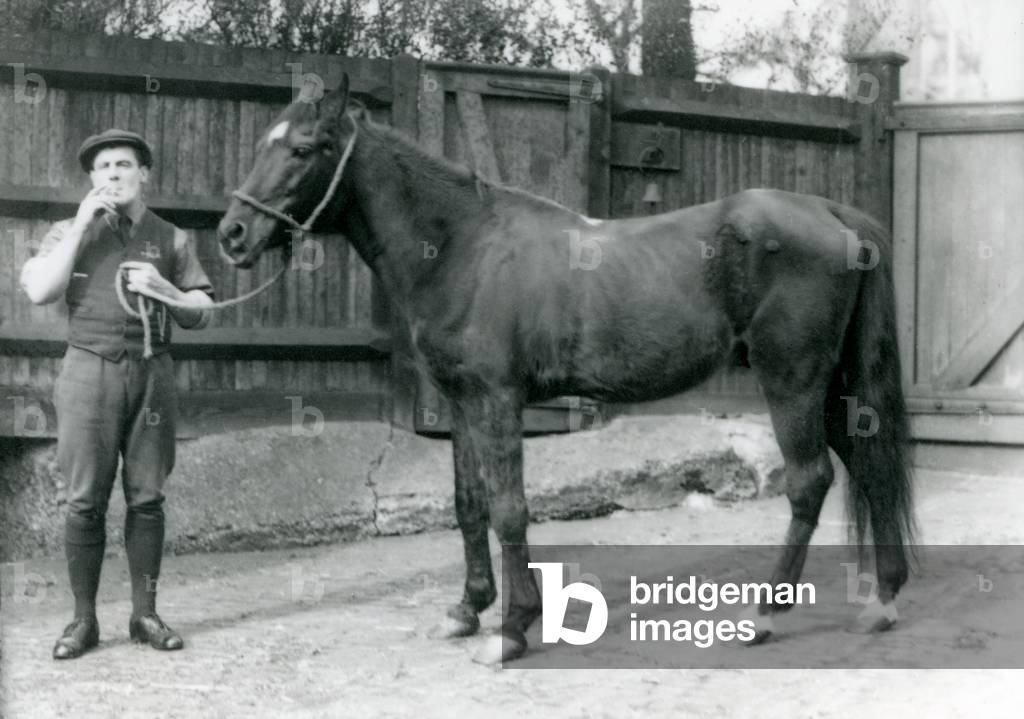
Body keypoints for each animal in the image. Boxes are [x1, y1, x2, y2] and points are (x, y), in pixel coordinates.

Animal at [216, 74, 914, 663]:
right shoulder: (463, 403)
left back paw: (765, 615)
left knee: (809, 482)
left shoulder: (498, 400)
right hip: (832, 387)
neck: (465, 247)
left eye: (303, 148)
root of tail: (833, 214)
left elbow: (509, 509)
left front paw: (511, 631)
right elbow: (469, 503)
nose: (233, 233)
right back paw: (882, 601)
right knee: (871, 465)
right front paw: (466, 610)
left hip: (792, 380)